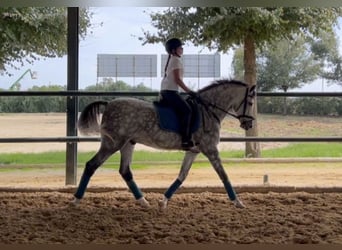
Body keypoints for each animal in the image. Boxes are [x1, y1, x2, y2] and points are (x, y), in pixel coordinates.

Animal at [72, 79, 255, 208]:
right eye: (251, 102)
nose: (249, 124)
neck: (208, 111)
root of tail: (109, 103)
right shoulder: (210, 149)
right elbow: (224, 175)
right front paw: (238, 202)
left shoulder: (193, 151)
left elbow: (182, 175)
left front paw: (163, 201)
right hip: (112, 144)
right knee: (91, 165)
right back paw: (76, 200)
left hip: (128, 144)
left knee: (125, 171)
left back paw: (143, 201)